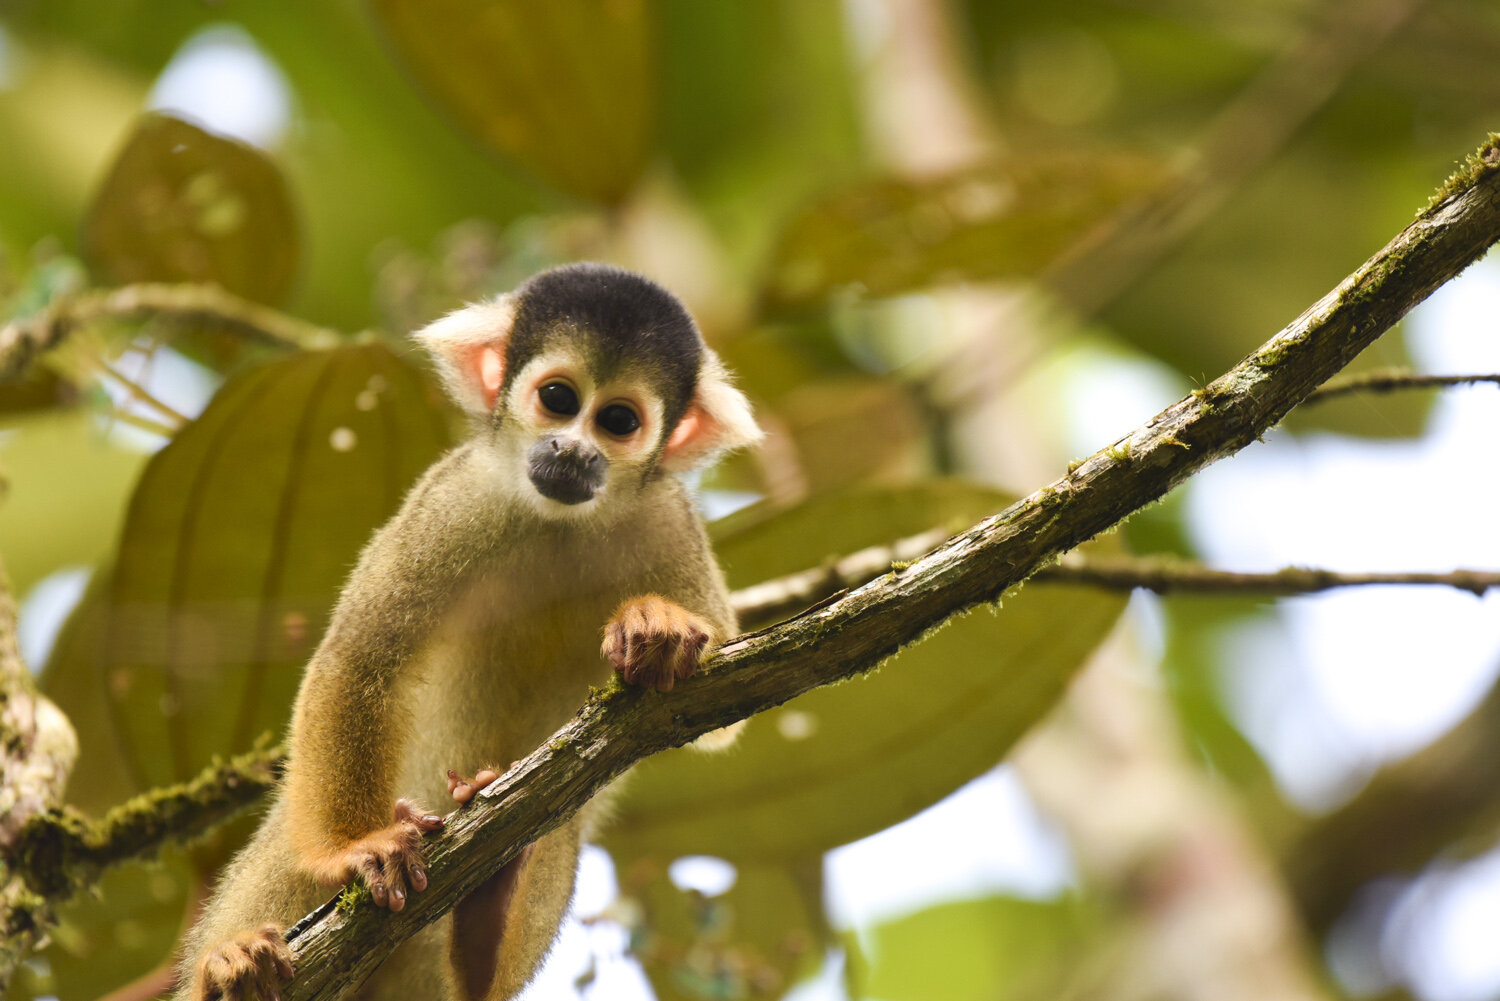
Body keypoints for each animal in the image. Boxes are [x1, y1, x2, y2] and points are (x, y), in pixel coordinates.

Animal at [175, 262, 762, 996]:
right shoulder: (454, 497)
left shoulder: (668, 519)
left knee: (558, 836)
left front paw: (659, 630)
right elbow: (359, 657)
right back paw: (233, 965)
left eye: (619, 420)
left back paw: (488, 918)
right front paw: (355, 848)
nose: (574, 450)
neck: (557, 521)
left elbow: (722, 713)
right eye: (559, 399)